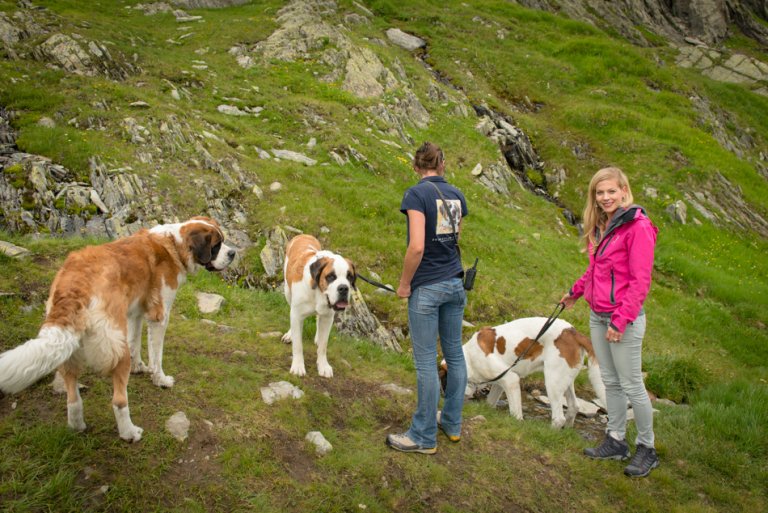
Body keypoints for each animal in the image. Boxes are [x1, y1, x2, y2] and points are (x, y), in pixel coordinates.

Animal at [0, 216, 237, 440]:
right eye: (217, 245)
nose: (233, 253)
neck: (174, 245)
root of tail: (75, 284)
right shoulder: (159, 316)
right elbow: (156, 355)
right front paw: (160, 379)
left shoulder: (135, 312)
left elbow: (136, 342)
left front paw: (139, 366)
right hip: (116, 345)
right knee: (119, 400)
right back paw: (129, 433)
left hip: (71, 348)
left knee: (72, 397)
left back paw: (77, 425)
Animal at [280, 234, 356, 378]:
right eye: (331, 276)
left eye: (349, 277)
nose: (344, 288)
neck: (317, 293)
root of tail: (303, 235)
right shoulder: (297, 314)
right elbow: (298, 344)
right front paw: (298, 366)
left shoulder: (328, 318)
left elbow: (323, 345)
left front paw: (323, 366)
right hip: (287, 292)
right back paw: (290, 334)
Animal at [444, 318, 608, 426]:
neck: (469, 357)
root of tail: (573, 332)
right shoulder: (500, 382)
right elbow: (490, 402)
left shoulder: (510, 379)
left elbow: (515, 412)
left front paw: (516, 423)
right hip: (565, 380)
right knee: (574, 406)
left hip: (553, 382)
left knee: (558, 418)